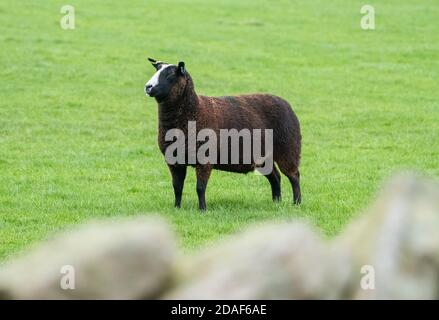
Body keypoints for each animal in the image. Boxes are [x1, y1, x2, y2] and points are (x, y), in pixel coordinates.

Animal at [144, 58, 302, 211]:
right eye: (157, 70)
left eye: (171, 74)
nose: (148, 87)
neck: (195, 110)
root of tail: (286, 103)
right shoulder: (174, 159)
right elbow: (177, 187)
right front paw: (176, 208)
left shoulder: (205, 159)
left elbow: (200, 188)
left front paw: (202, 210)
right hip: (265, 156)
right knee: (275, 177)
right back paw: (276, 202)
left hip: (288, 148)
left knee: (294, 175)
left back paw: (296, 203)